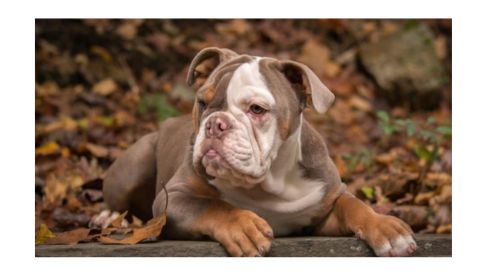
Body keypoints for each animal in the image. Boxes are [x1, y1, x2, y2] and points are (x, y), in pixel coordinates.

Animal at [104, 47, 416, 258]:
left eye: (256, 109)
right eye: (202, 103)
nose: (215, 124)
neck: (267, 184)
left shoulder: (325, 206)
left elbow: (354, 206)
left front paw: (387, 228)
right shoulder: (173, 199)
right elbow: (212, 205)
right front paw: (243, 226)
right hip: (137, 161)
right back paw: (107, 218)